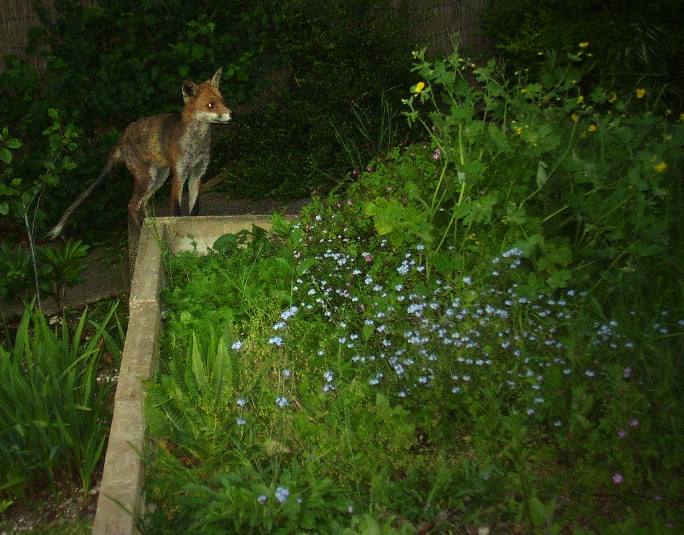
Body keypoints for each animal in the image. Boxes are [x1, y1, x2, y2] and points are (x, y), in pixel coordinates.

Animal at [47, 68, 232, 240]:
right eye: (210, 105)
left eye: (222, 100)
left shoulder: (197, 174)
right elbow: (176, 210)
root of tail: (121, 139)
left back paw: (150, 227)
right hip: (148, 178)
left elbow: (194, 211)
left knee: (142, 204)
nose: (231, 114)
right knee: (132, 205)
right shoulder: (179, 174)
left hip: (159, 178)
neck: (196, 145)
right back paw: (146, 232)